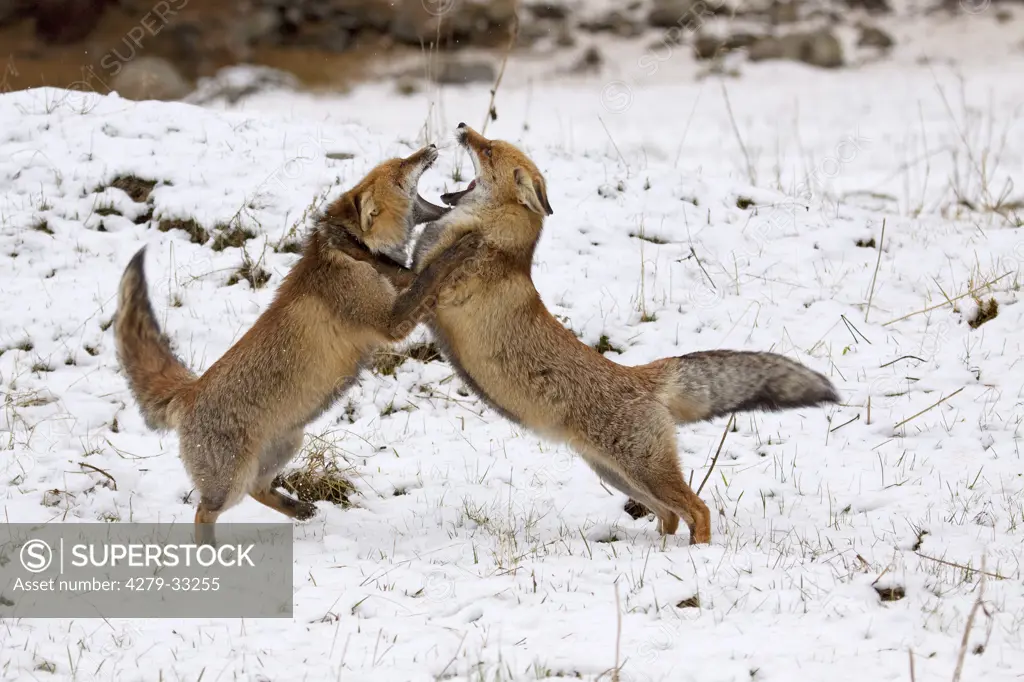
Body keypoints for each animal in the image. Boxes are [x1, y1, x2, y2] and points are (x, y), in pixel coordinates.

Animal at [114, 146, 481, 544]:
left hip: (286, 447)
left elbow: (415, 276)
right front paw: (462, 247)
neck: (356, 253)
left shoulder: (395, 289)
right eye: (401, 171)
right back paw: (210, 549)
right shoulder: (389, 323)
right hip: (230, 482)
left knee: (259, 490)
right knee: (204, 510)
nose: (429, 147)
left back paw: (300, 509)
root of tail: (189, 392)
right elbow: (431, 274)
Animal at [407, 124, 839, 544]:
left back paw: (693, 553)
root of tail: (640, 375)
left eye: (489, 149)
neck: (495, 240)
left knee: (698, 509)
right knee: (671, 514)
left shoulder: (432, 295)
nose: (463, 126)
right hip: (616, 474)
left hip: (641, 470)